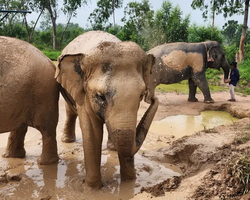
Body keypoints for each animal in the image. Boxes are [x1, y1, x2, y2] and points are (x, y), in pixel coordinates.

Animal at [0, 36, 73, 165]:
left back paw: (44, 163)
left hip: (42, 93)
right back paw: (11, 156)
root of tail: (51, 62)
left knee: (46, 128)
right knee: (21, 125)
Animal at [56, 30, 158, 189]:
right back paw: (67, 141)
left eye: (141, 95)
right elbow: (92, 133)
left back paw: (112, 148)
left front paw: (129, 183)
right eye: (100, 96)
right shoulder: (84, 93)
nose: (152, 98)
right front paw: (92, 188)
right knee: (70, 112)